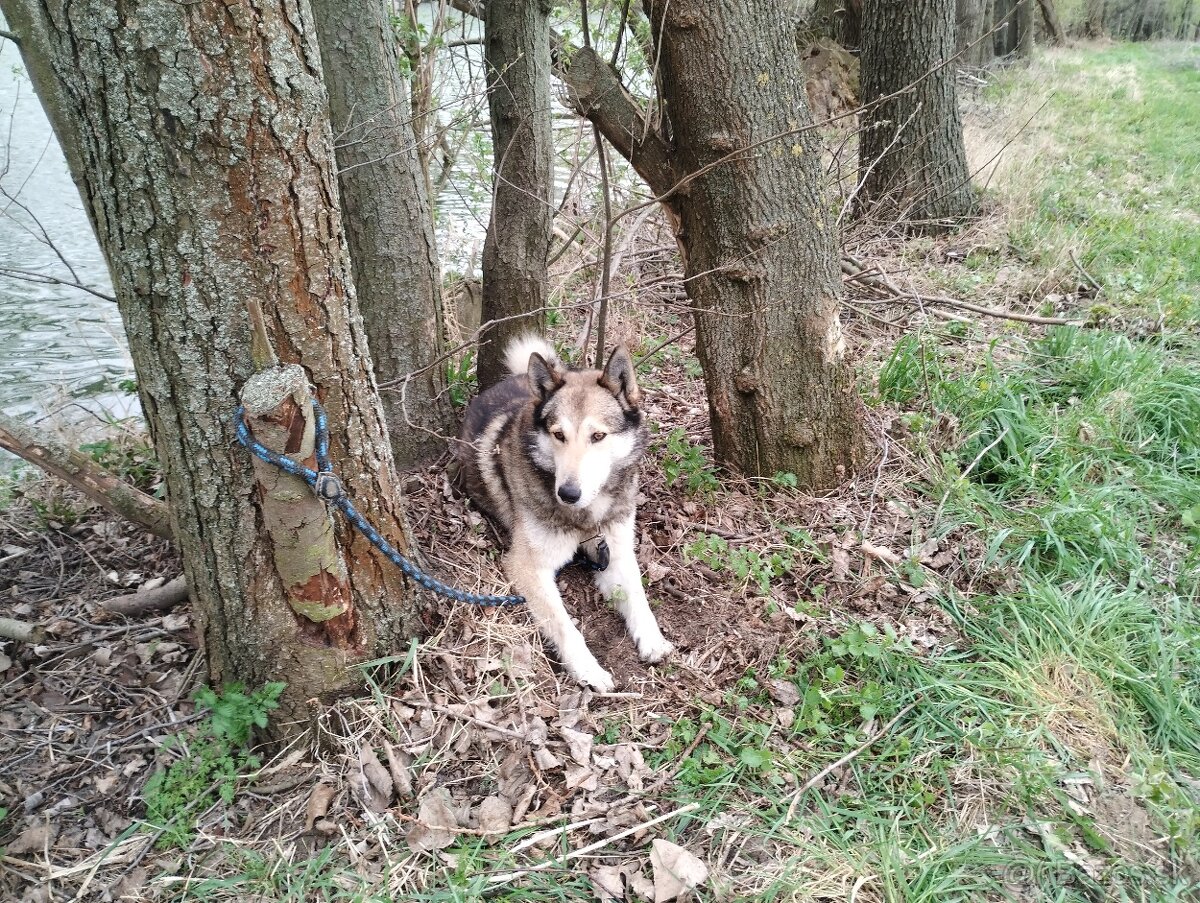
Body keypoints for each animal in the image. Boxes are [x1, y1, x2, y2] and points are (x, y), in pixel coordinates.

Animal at [451, 336, 676, 686]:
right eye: (559, 435)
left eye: (598, 436)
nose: (568, 494)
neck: (587, 518)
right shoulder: (527, 566)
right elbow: (565, 626)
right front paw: (588, 670)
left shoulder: (616, 552)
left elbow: (638, 597)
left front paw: (653, 640)